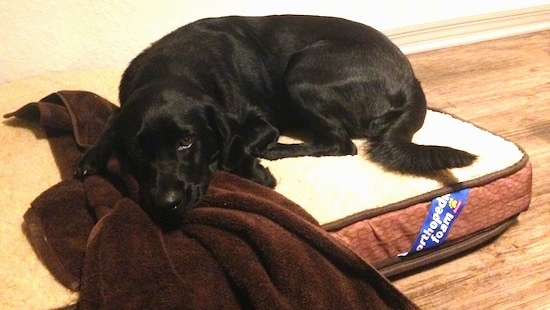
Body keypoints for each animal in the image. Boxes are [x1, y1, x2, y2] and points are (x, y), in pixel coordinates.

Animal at [74, 15, 478, 228]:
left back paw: (274, 151)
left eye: (186, 142)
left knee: (340, 144)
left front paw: (255, 171)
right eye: (137, 152)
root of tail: (411, 80)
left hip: (301, 72)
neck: (171, 69)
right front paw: (92, 156)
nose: (167, 204)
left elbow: (235, 145)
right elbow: (110, 124)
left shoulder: (259, 120)